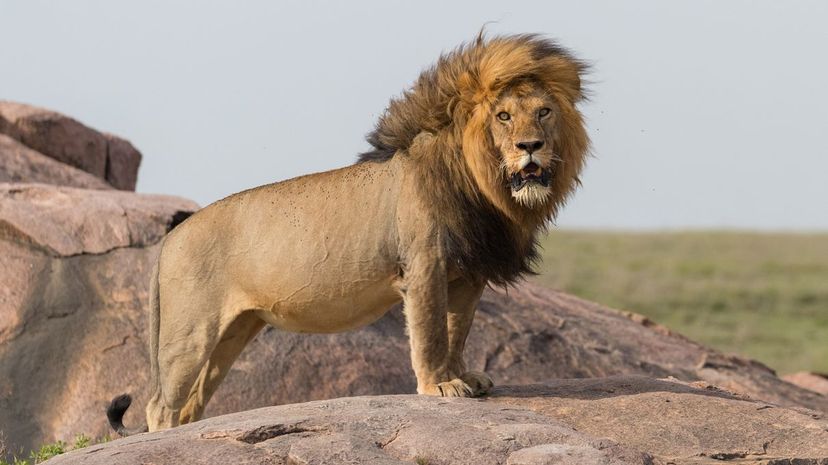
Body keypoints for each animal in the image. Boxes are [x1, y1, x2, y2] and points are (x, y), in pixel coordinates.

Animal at [107, 33, 590, 435]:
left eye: (544, 112)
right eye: (503, 116)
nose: (531, 146)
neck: (483, 186)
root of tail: (171, 237)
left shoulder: (469, 276)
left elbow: (457, 331)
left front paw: (462, 376)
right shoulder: (424, 265)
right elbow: (431, 332)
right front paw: (439, 386)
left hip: (235, 332)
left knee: (192, 403)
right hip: (190, 333)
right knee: (160, 406)